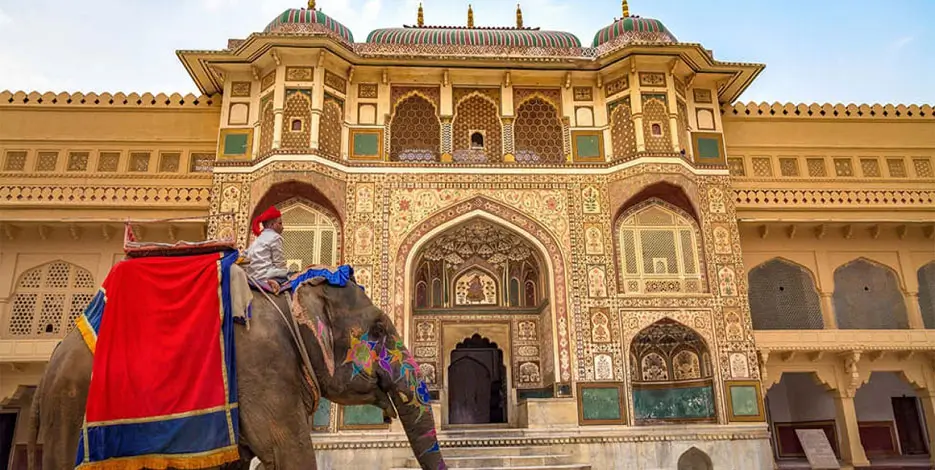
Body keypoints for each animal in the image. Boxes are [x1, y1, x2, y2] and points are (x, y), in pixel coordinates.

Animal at [26, 262, 446, 470]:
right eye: (378, 329)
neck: (288, 299)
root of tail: (45, 375)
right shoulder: (261, 365)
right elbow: (287, 452)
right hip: (71, 405)